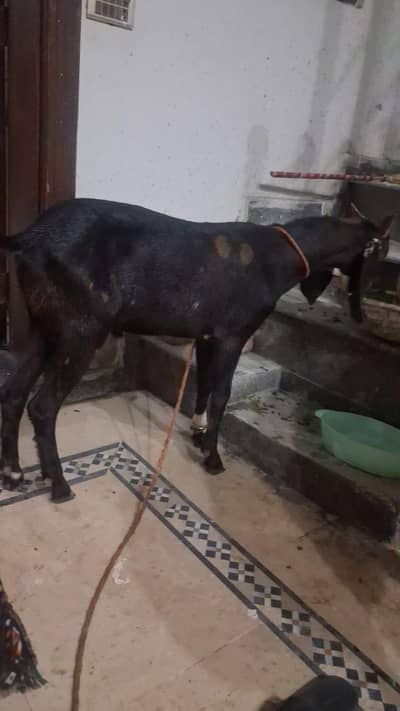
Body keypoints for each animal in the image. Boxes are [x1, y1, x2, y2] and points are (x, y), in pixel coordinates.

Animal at [0, 198, 393, 502]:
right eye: (380, 252)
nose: (368, 309)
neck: (279, 255)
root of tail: (29, 238)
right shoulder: (232, 335)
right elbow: (222, 395)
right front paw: (213, 458)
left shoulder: (207, 337)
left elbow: (203, 386)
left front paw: (198, 432)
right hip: (81, 332)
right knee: (43, 406)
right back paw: (59, 483)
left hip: (43, 327)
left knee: (14, 393)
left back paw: (14, 472)